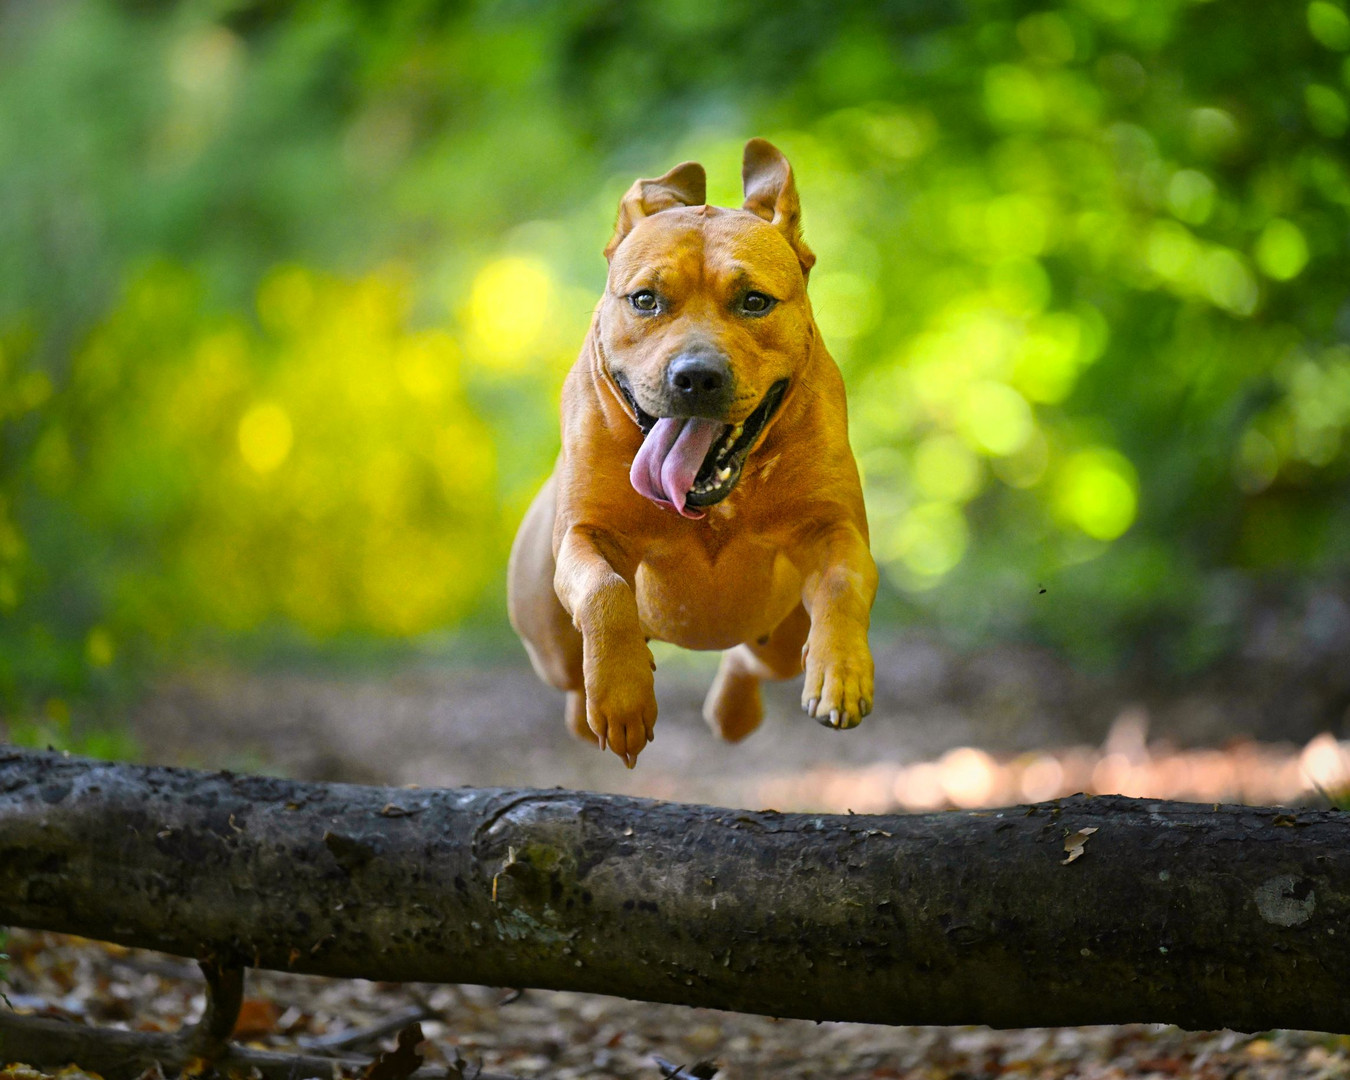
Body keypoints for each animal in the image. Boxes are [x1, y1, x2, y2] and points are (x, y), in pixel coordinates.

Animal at [507, 139, 874, 766]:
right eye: (645, 300)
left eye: (754, 301)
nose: (696, 376)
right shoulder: (583, 534)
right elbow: (604, 590)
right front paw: (623, 698)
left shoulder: (836, 528)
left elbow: (845, 579)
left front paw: (842, 674)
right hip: (548, 637)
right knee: (573, 683)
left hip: (782, 630)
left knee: (754, 659)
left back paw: (733, 715)